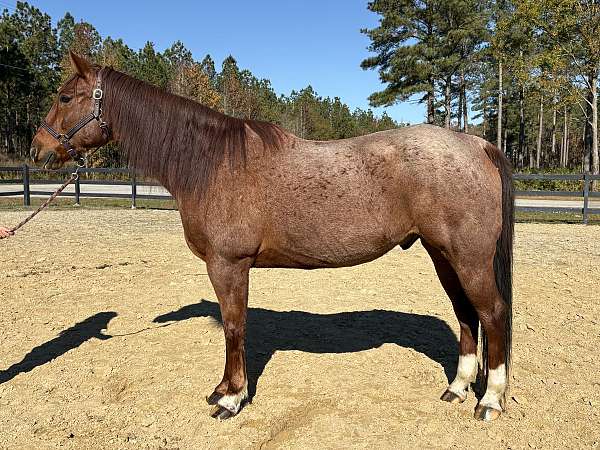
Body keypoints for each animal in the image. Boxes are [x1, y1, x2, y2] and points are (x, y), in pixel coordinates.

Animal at [30, 52, 512, 422]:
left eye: (65, 97)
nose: (37, 149)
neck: (213, 164)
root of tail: (477, 144)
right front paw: (225, 389)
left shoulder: (228, 264)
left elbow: (233, 326)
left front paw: (230, 398)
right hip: (442, 254)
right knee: (465, 315)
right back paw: (457, 388)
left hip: (467, 258)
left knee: (491, 314)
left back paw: (489, 400)